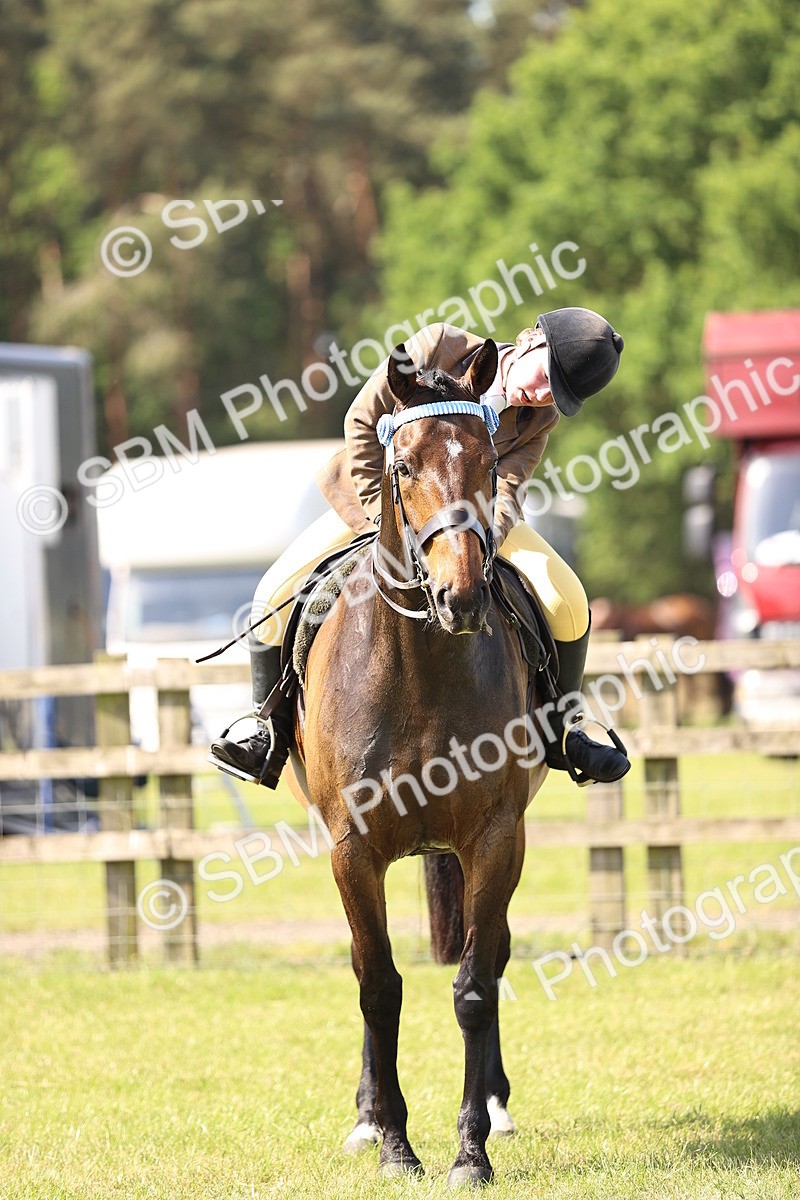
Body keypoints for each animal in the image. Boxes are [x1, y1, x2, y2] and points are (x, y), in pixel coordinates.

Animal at [289, 338, 548, 1185]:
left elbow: (474, 989)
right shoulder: (352, 850)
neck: (423, 666)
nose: (459, 595)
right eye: (402, 465)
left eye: (490, 462)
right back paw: (369, 1119)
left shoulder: (495, 839)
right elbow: (378, 986)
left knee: (491, 959)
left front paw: (470, 1151)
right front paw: (396, 1145)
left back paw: (495, 1109)